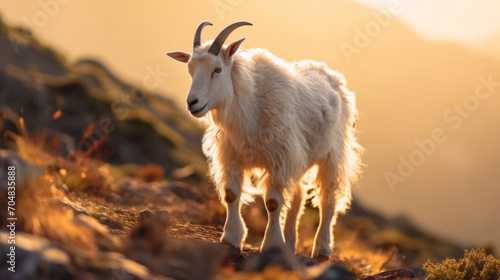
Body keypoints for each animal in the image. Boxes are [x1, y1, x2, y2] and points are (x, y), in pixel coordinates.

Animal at [168, 21, 364, 258]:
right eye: (190, 69)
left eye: (217, 69)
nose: (192, 103)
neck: (251, 107)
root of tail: (332, 76)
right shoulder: (232, 156)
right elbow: (231, 194)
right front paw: (232, 237)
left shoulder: (280, 159)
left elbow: (272, 203)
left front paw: (271, 244)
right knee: (298, 198)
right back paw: (290, 244)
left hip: (333, 154)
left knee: (328, 200)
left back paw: (322, 248)